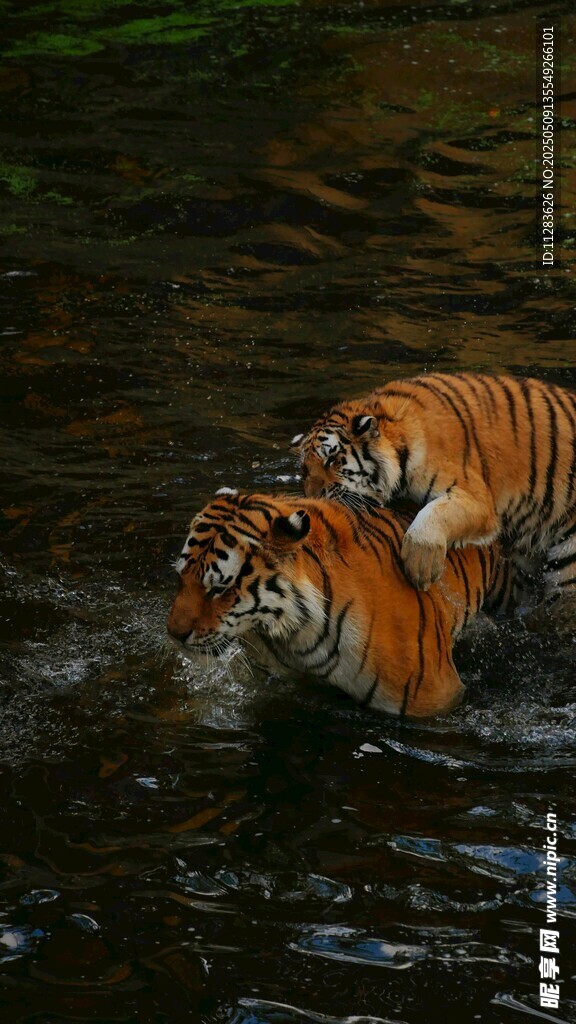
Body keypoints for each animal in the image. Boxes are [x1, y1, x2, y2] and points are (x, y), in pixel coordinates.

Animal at [290, 373, 576, 609]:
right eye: (304, 469)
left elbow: (434, 515)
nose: (312, 497)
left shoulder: (476, 499)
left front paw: (420, 567)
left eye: (332, 459)